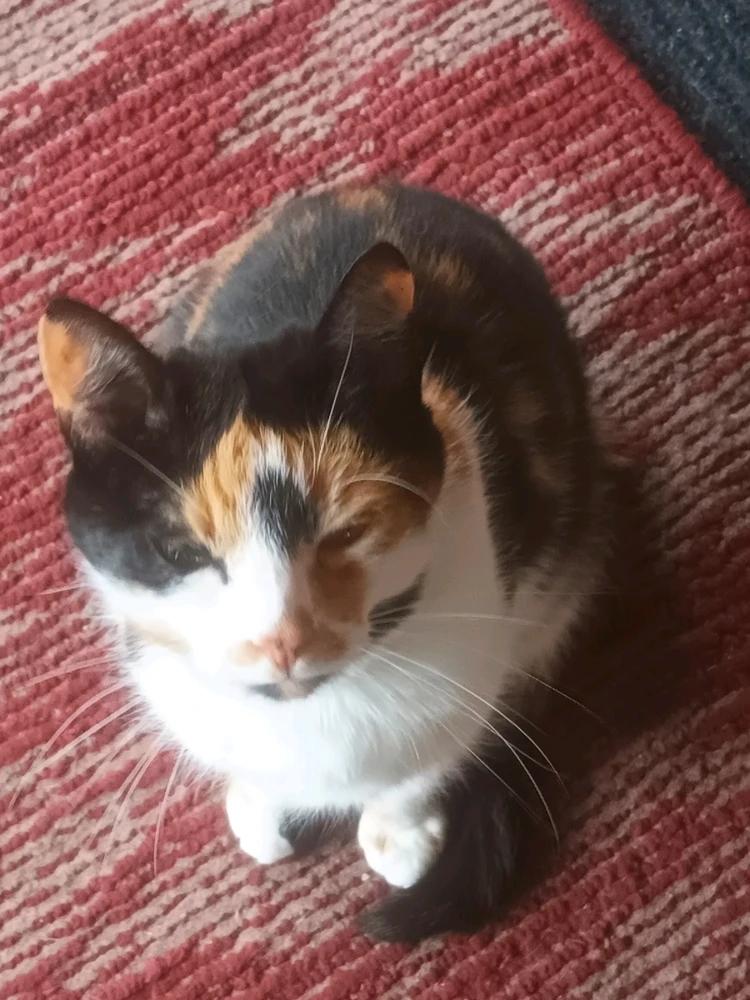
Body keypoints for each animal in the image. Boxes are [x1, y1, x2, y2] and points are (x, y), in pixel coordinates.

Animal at [37, 182, 611, 942]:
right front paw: (258, 802)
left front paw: (399, 830)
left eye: (348, 528)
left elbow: (428, 758)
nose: (280, 641)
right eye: (181, 551)